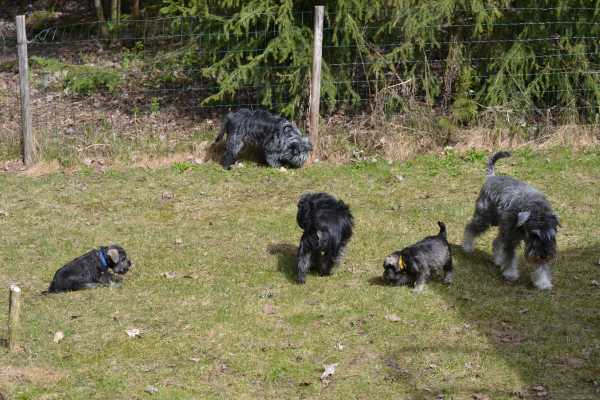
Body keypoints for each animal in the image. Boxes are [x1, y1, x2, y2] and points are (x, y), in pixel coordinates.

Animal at [463, 151, 559, 289]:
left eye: (552, 235)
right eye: (534, 235)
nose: (544, 255)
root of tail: (491, 177)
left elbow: (541, 268)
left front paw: (543, 282)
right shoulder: (512, 240)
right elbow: (510, 257)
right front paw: (510, 274)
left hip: (502, 228)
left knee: (496, 241)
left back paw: (498, 260)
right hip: (484, 219)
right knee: (470, 228)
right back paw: (467, 246)